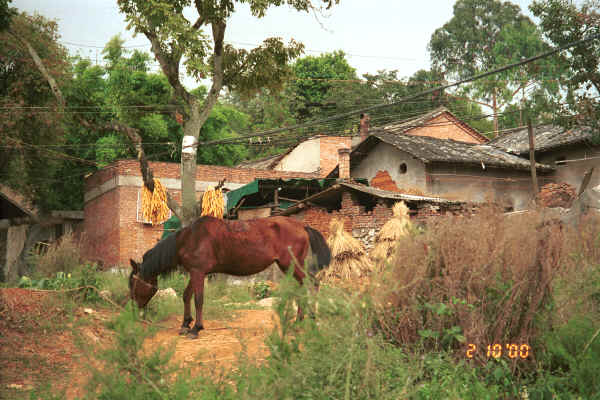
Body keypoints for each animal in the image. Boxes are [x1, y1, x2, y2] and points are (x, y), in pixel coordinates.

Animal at [128, 216, 330, 338]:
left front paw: (196, 328)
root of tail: (302, 226)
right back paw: (300, 320)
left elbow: (198, 299)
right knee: (305, 287)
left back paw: (309, 319)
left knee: (312, 284)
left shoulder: (198, 272)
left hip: (292, 264)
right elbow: (187, 296)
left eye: (132, 284)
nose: (134, 311)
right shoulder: (195, 272)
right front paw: (185, 324)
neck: (190, 239)